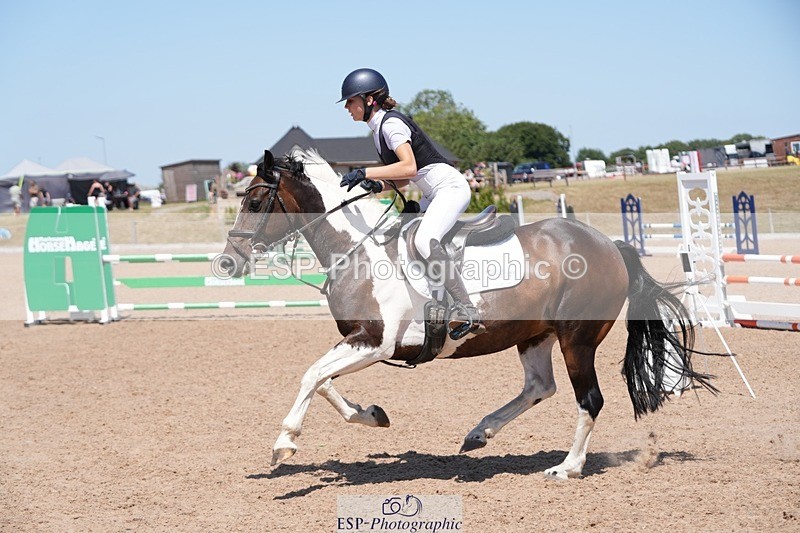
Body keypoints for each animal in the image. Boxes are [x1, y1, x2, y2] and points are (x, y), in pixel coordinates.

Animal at [217, 148, 714, 479]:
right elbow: (321, 380)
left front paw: (284, 443)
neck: (357, 249)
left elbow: (311, 376)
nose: (227, 262)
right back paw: (480, 433)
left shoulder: (374, 342)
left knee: (588, 399)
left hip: (576, 337)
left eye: (255, 202)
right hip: (534, 334)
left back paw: (567, 467)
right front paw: (372, 415)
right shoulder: (358, 340)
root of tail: (610, 246)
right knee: (540, 386)